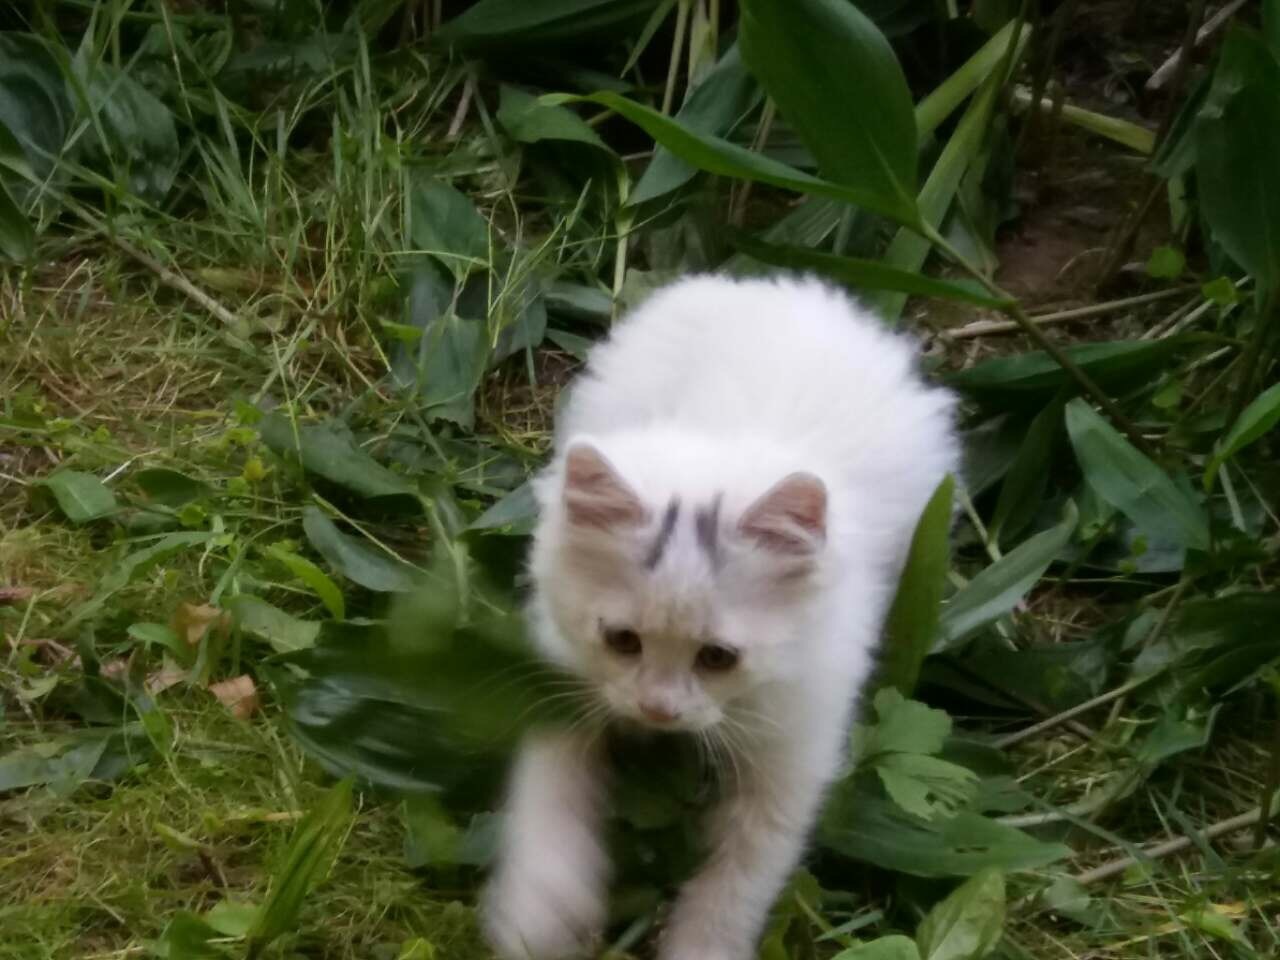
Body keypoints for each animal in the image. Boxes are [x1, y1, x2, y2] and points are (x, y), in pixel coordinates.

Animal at [483, 273, 957, 957]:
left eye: (718, 658)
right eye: (622, 640)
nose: (657, 710)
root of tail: (784, 286)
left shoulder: (794, 747)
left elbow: (738, 881)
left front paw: (701, 947)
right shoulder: (559, 669)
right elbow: (550, 788)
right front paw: (541, 909)